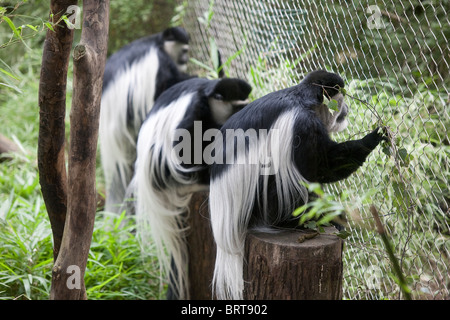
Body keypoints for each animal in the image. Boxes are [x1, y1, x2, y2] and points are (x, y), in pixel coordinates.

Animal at [132, 76, 253, 298]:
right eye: (237, 107)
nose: (243, 113)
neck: (206, 95)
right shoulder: (195, 109)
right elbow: (183, 143)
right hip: (160, 167)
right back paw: (202, 178)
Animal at [209, 70, 388, 300]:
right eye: (341, 100)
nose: (347, 109)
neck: (303, 99)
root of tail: (226, 237)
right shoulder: (303, 125)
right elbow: (321, 167)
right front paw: (373, 137)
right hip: (258, 204)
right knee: (279, 185)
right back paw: (299, 221)